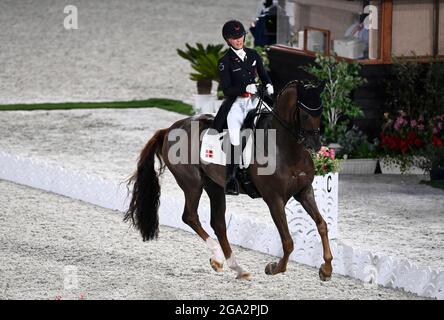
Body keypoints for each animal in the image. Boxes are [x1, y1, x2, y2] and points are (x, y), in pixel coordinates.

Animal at [125, 81, 332, 282]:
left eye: (321, 111)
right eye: (304, 113)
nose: (315, 145)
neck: (284, 147)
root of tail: (169, 130)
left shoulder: (304, 191)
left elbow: (322, 225)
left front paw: (326, 269)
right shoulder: (274, 199)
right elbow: (288, 242)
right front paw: (273, 268)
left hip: (214, 186)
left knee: (218, 224)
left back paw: (237, 268)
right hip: (192, 184)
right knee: (190, 216)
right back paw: (219, 258)